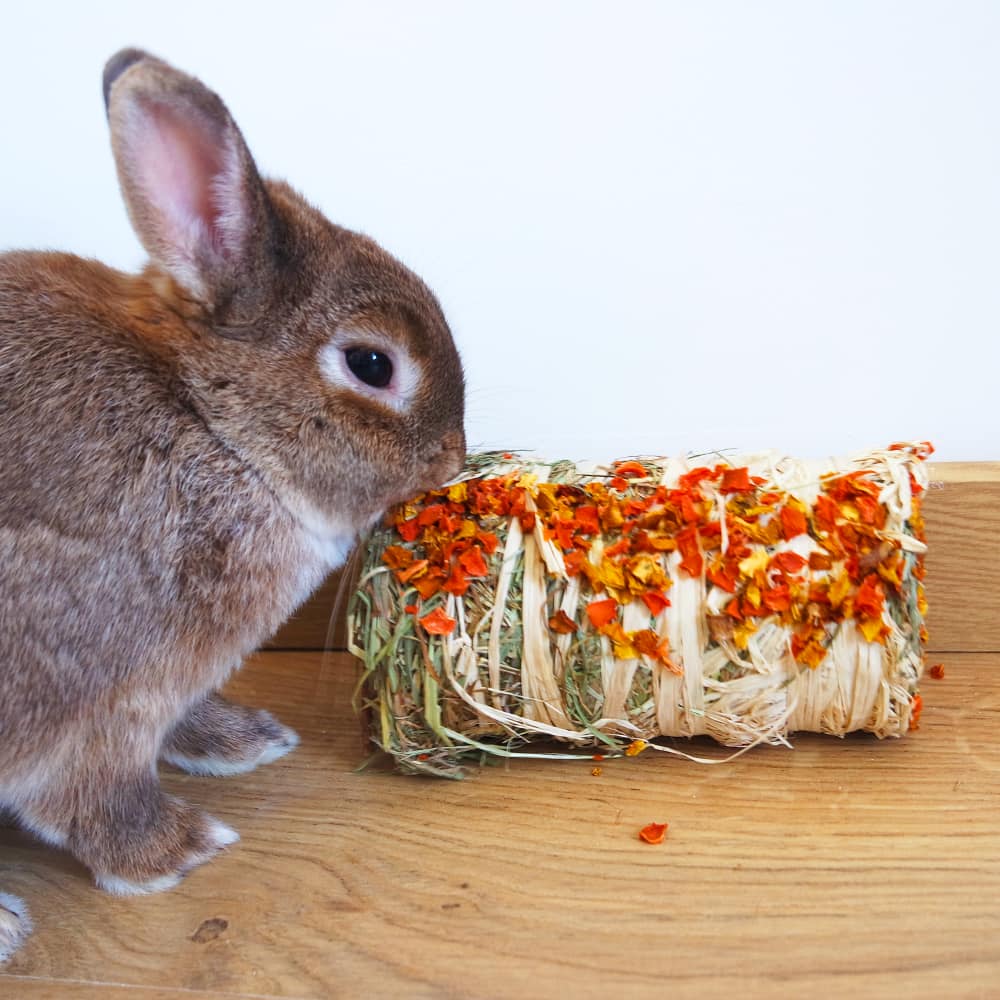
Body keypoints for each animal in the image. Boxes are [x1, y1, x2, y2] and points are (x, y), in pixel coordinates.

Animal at [0, 48, 465, 963]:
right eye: (371, 364)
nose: (454, 458)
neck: (214, 427)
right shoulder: (102, 698)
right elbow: (90, 793)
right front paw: (177, 851)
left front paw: (247, 743)